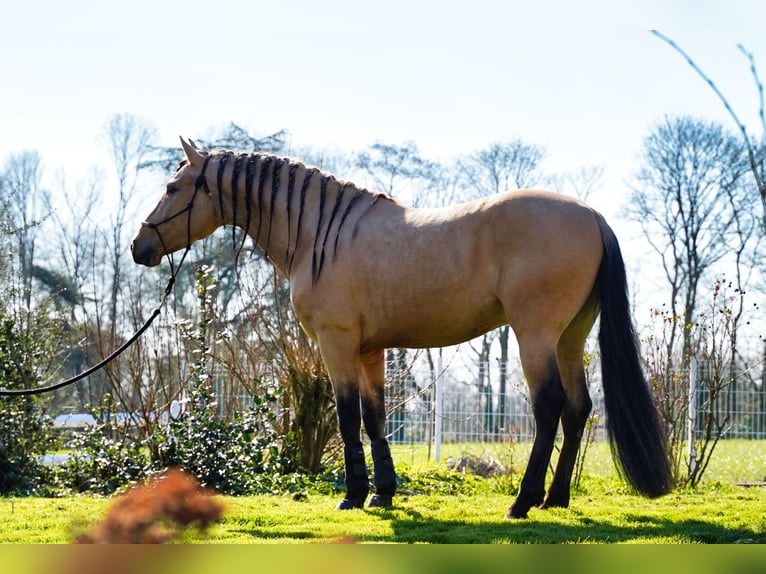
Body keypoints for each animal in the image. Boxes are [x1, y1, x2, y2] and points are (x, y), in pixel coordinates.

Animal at [132, 137, 672, 520]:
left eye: (172, 188)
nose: (140, 246)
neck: (319, 234)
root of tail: (593, 216)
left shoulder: (337, 344)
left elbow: (347, 416)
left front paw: (352, 496)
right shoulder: (372, 351)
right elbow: (375, 419)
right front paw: (383, 494)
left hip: (535, 335)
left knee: (550, 406)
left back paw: (522, 502)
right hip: (570, 337)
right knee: (579, 408)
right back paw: (555, 499)